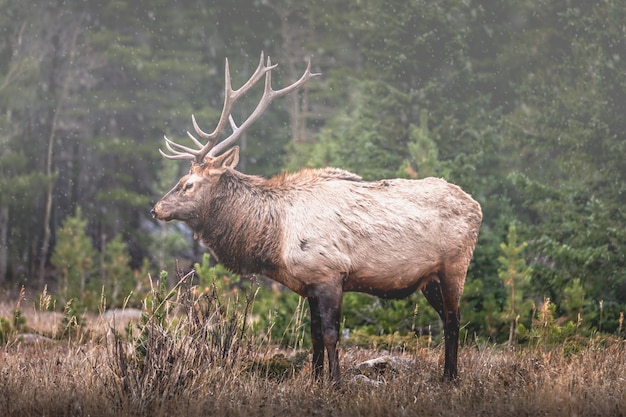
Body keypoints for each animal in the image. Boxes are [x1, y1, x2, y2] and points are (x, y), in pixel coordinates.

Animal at [152, 53, 482, 386]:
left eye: (188, 184)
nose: (156, 209)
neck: (276, 238)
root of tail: (477, 206)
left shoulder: (329, 274)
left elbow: (331, 335)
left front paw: (335, 382)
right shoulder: (308, 284)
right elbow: (313, 337)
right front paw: (315, 378)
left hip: (454, 266)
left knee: (454, 319)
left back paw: (451, 376)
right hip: (429, 278)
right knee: (446, 318)